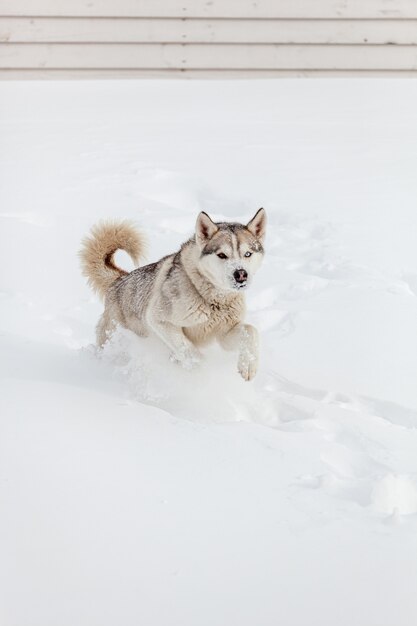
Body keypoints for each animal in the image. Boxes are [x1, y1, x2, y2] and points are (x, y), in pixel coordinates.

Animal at [79, 207, 264, 378]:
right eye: (222, 255)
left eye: (248, 254)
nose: (241, 274)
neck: (212, 300)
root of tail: (119, 280)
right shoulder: (158, 320)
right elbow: (188, 350)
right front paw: (200, 371)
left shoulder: (225, 334)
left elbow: (251, 332)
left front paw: (248, 365)